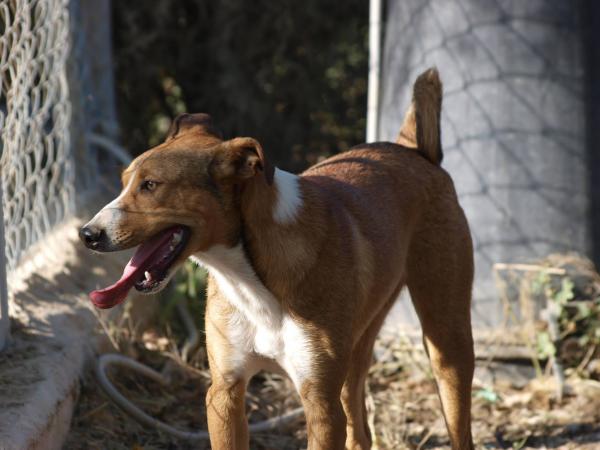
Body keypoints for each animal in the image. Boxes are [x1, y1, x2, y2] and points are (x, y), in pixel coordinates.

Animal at [81, 67, 474, 450]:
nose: (88, 234)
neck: (251, 277)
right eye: (124, 182)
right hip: (357, 354)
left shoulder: (321, 406)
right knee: (360, 433)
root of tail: (414, 150)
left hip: (447, 344)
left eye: (150, 185)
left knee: (460, 427)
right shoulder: (224, 393)